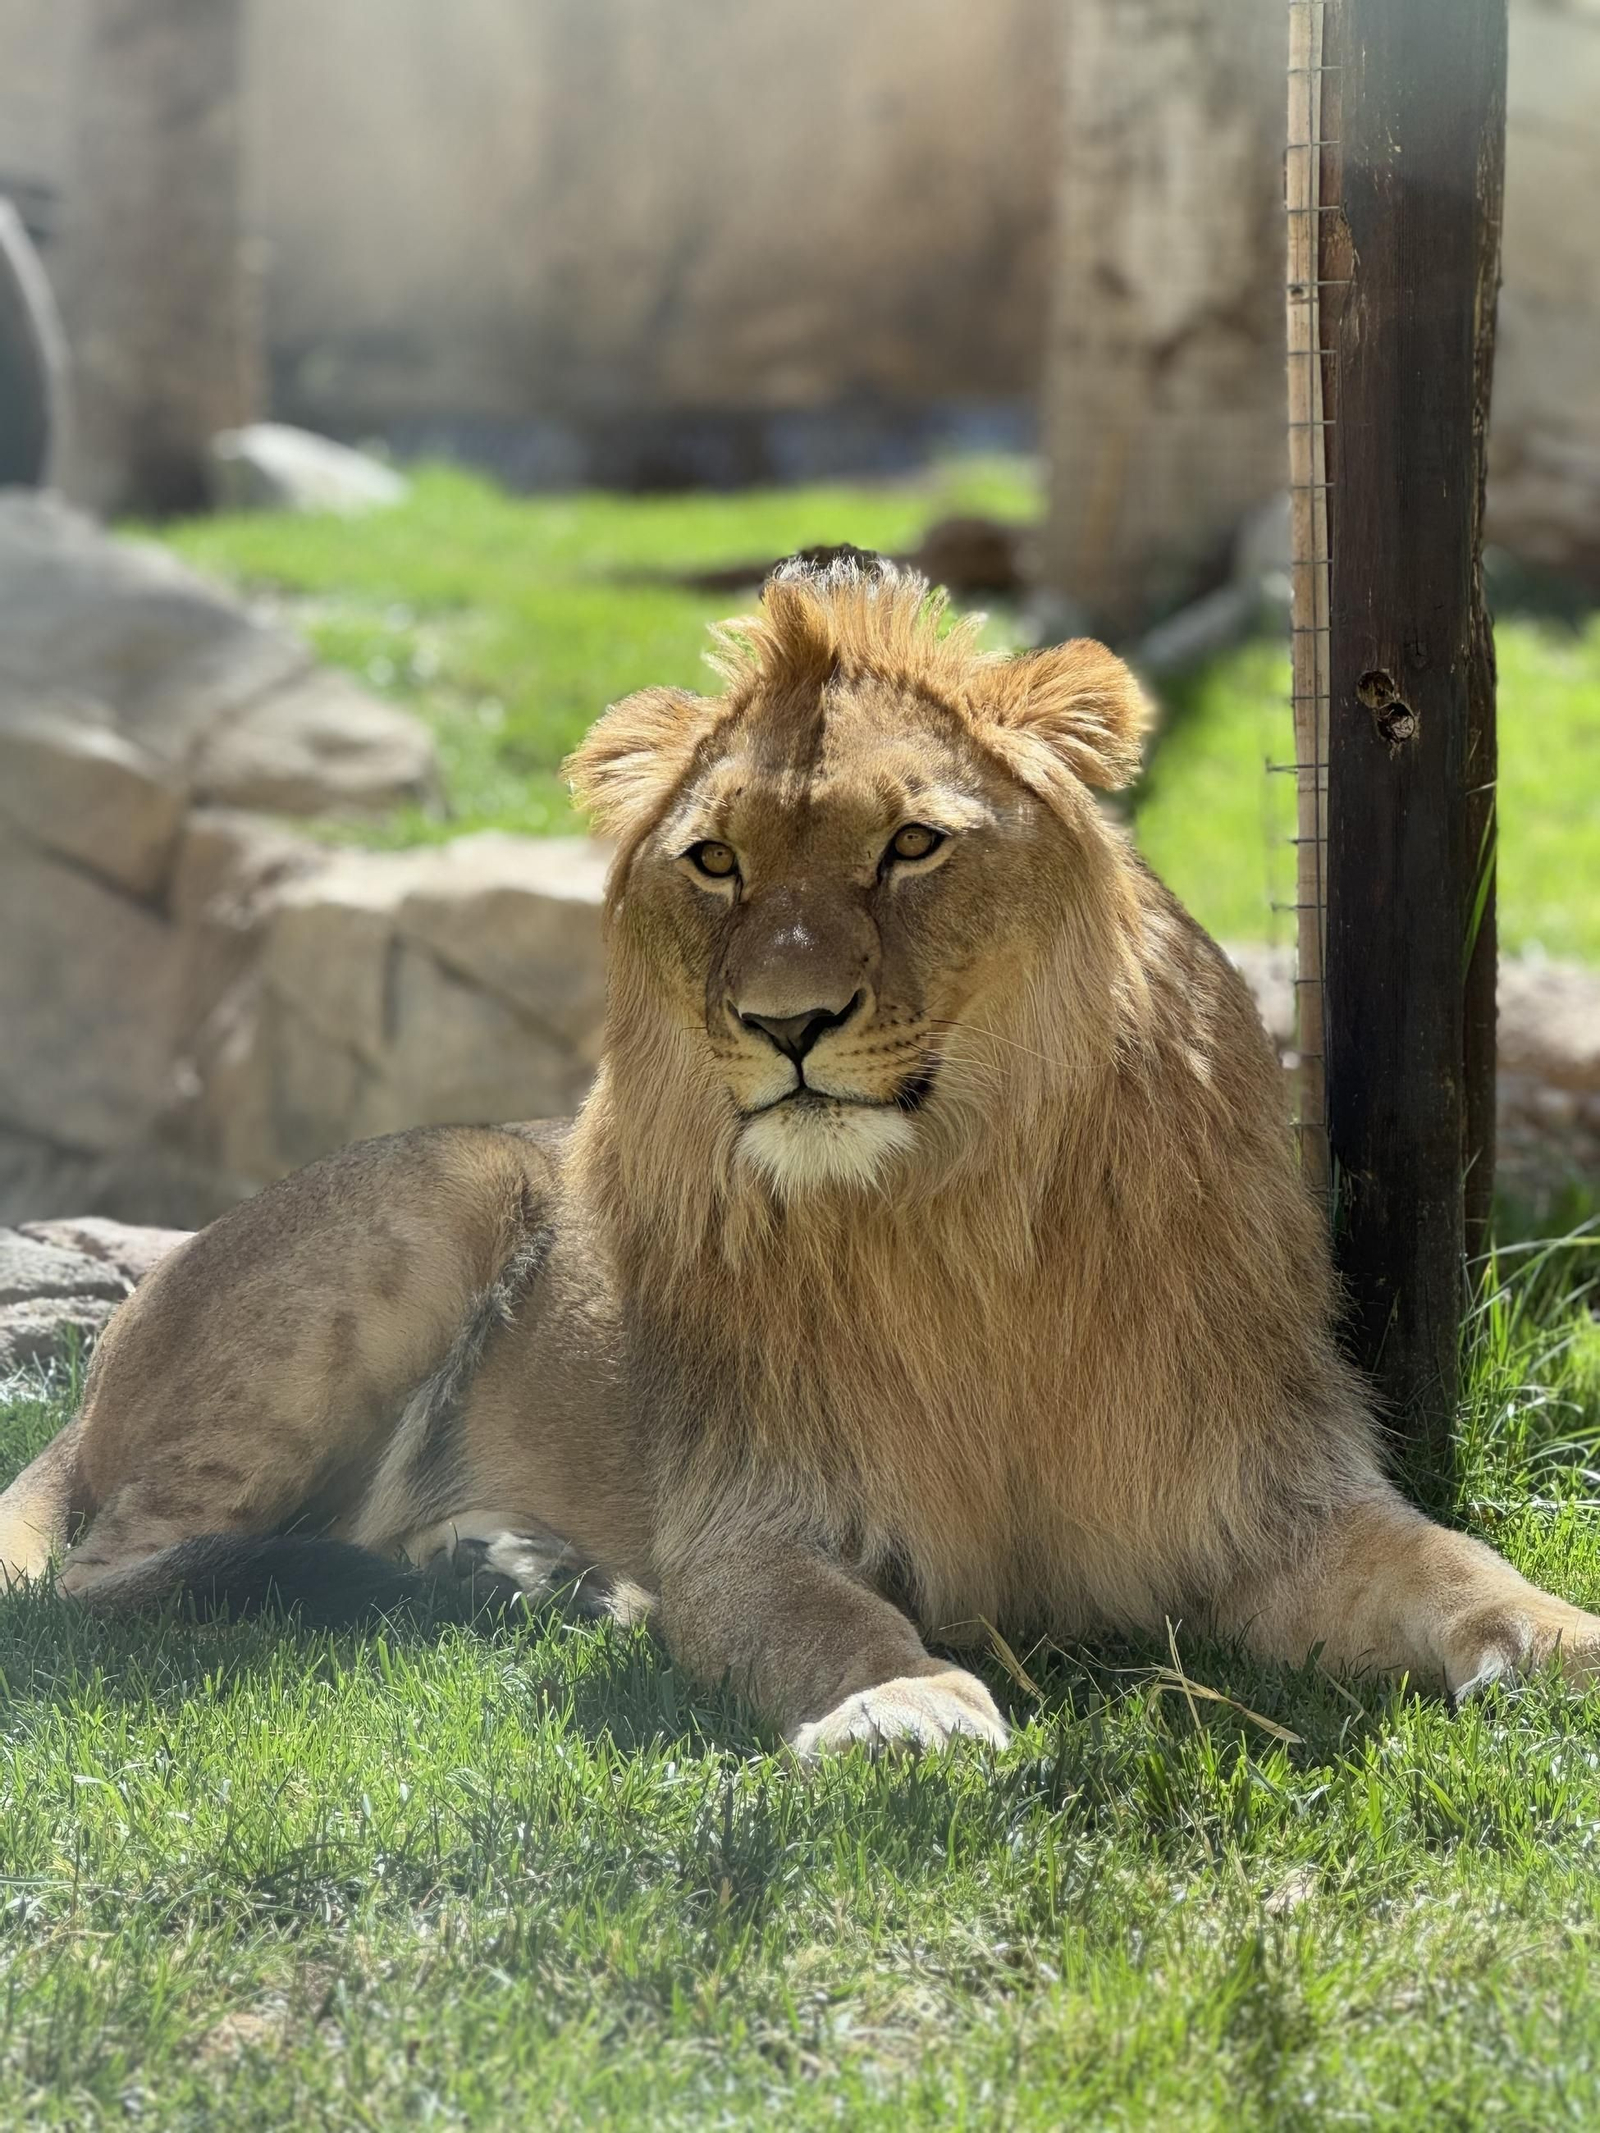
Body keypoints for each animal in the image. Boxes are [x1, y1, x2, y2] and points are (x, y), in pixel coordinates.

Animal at [2, 554, 1596, 1757]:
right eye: (716, 862)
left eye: (912, 846)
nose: (786, 1022)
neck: (958, 1220)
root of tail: (110, 1353)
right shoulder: (754, 1512)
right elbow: (820, 1618)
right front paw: (902, 1704)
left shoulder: (1264, 1491)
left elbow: (1463, 1568)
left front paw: (1567, 1645)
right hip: (432, 1207)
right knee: (108, 1583)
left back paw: (522, 1574)